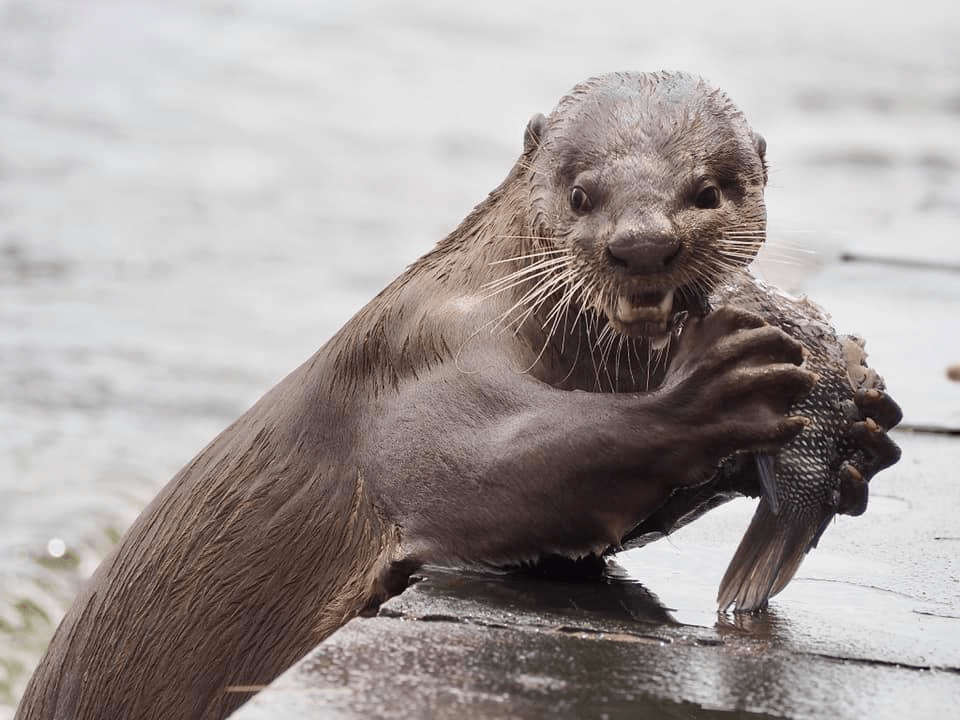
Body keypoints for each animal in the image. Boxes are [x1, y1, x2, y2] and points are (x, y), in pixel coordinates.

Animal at [15, 71, 900, 720]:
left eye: (708, 191)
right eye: (580, 193)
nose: (643, 244)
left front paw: (862, 427)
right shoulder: (422, 356)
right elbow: (477, 475)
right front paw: (715, 392)